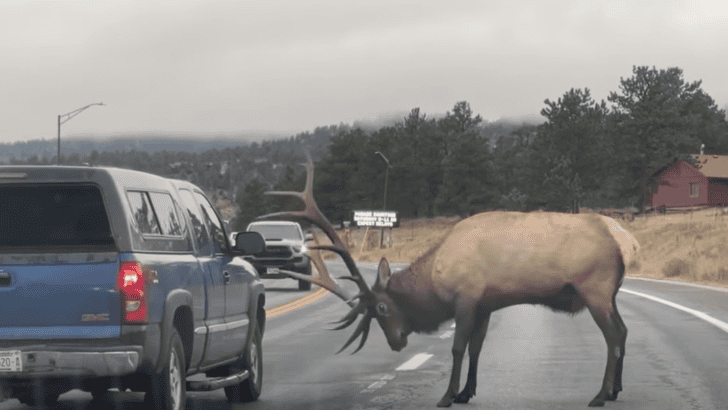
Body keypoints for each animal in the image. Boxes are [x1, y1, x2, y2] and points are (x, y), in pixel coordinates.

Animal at [259, 154, 640, 408]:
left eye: (382, 307)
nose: (396, 343)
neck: (434, 279)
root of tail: (625, 240)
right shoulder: (486, 303)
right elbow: (476, 347)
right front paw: (465, 392)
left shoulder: (466, 297)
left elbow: (457, 347)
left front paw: (446, 395)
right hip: (609, 294)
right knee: (623, 331)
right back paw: (616, 390)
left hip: (594, 289)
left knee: (613, 336)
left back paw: (600, 394)